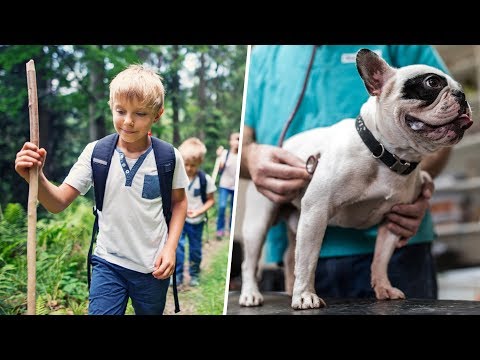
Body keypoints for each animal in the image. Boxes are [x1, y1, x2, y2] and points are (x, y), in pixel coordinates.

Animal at [240, 48, 472, 310]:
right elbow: (309, 259)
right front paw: (305, 295)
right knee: (251, 262)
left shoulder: (393, 221)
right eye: (432, 82)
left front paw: (383, 287)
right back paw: (251, 294)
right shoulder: (317, 211)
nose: (463, 95)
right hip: (258, 222)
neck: (386, 154)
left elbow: (380, 259)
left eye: (460, 87)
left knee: (291, 257)